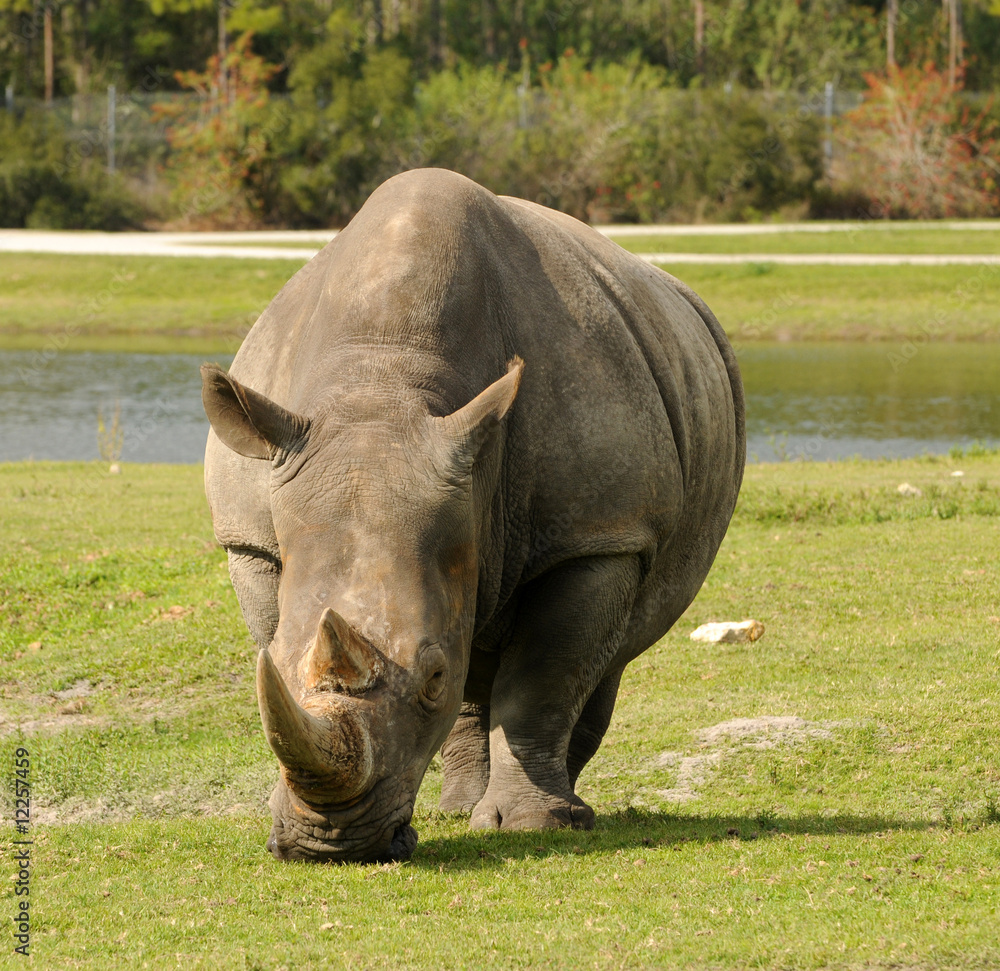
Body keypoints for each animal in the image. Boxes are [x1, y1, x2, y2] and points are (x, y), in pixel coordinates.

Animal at [201, 168, 745, 863]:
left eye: (433, 676)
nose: (333, 842)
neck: (383, 384)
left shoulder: (597, 535)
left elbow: (544, 677)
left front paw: (537, 825)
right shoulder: (251, 539)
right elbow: (279, 635)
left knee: (611, 650)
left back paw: (563, 804)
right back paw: (460, 808)